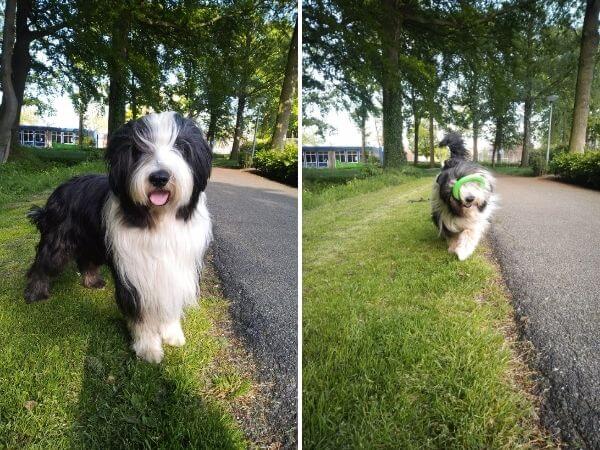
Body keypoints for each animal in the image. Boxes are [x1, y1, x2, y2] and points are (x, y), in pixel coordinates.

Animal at [24, 110, 212, 364]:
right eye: (138, 150)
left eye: (181, 147)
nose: (160, 177)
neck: (159, 220)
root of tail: (60, 188)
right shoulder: (135, 272)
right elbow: (140, 313)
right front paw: (148, 347)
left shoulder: (176, 268)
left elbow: (169, 302)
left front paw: (171, 333)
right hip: (58, 240)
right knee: (42, 264)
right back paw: (35, 293)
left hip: (92, 241)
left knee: (86, 260)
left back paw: (92, 281)